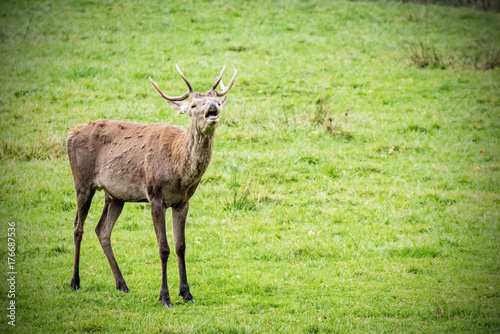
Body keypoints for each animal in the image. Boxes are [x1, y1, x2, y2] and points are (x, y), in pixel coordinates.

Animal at [66, 65, 236, 308]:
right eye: (194, 105)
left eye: (217, 102)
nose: (212, 107)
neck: (179, 171)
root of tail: (70, 134)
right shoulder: (155, 196)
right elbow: (163, 247)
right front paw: (165, 297)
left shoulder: (182, 201)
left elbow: (181, 246)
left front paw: (186, 293)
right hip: (82, 182)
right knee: (78, 227)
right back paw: (75, 281)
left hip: (115, 195)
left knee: (102, 230)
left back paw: (122, 284)